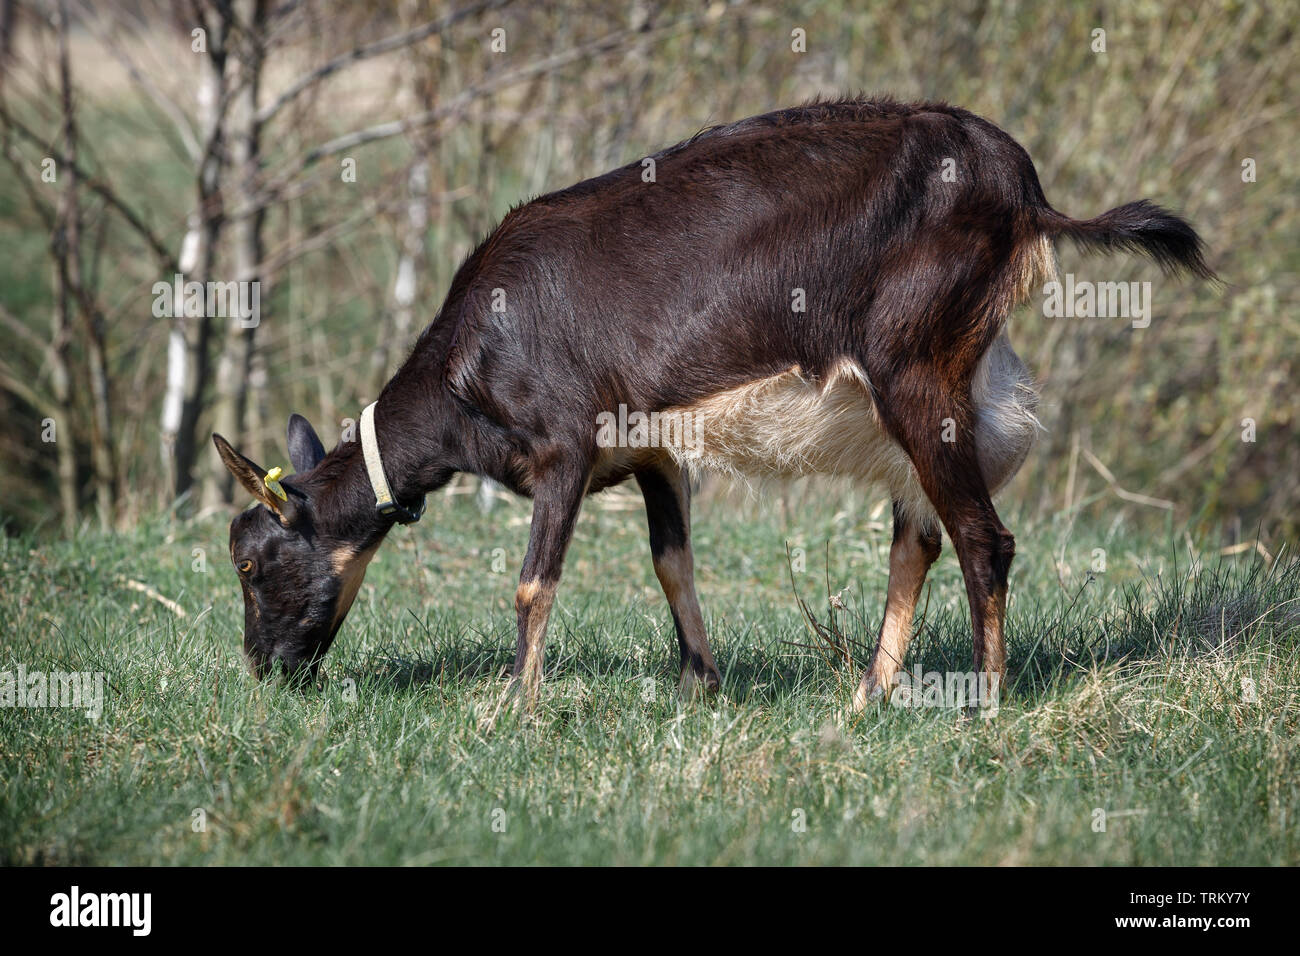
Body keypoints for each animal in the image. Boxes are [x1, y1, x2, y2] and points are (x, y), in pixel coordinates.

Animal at [208, 97, 1211, 707]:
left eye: (251, 564)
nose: (262, 670)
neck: (471, 363)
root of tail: (1024, 188)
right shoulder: (650, 449)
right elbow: (670, 561)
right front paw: (701, 681)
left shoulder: (565, 444)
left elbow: (536, 580)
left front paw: (512, 711)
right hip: (944, 383)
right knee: (919, 535)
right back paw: (868, 696)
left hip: (914, 370)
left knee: (980, 537)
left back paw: (983, 703)